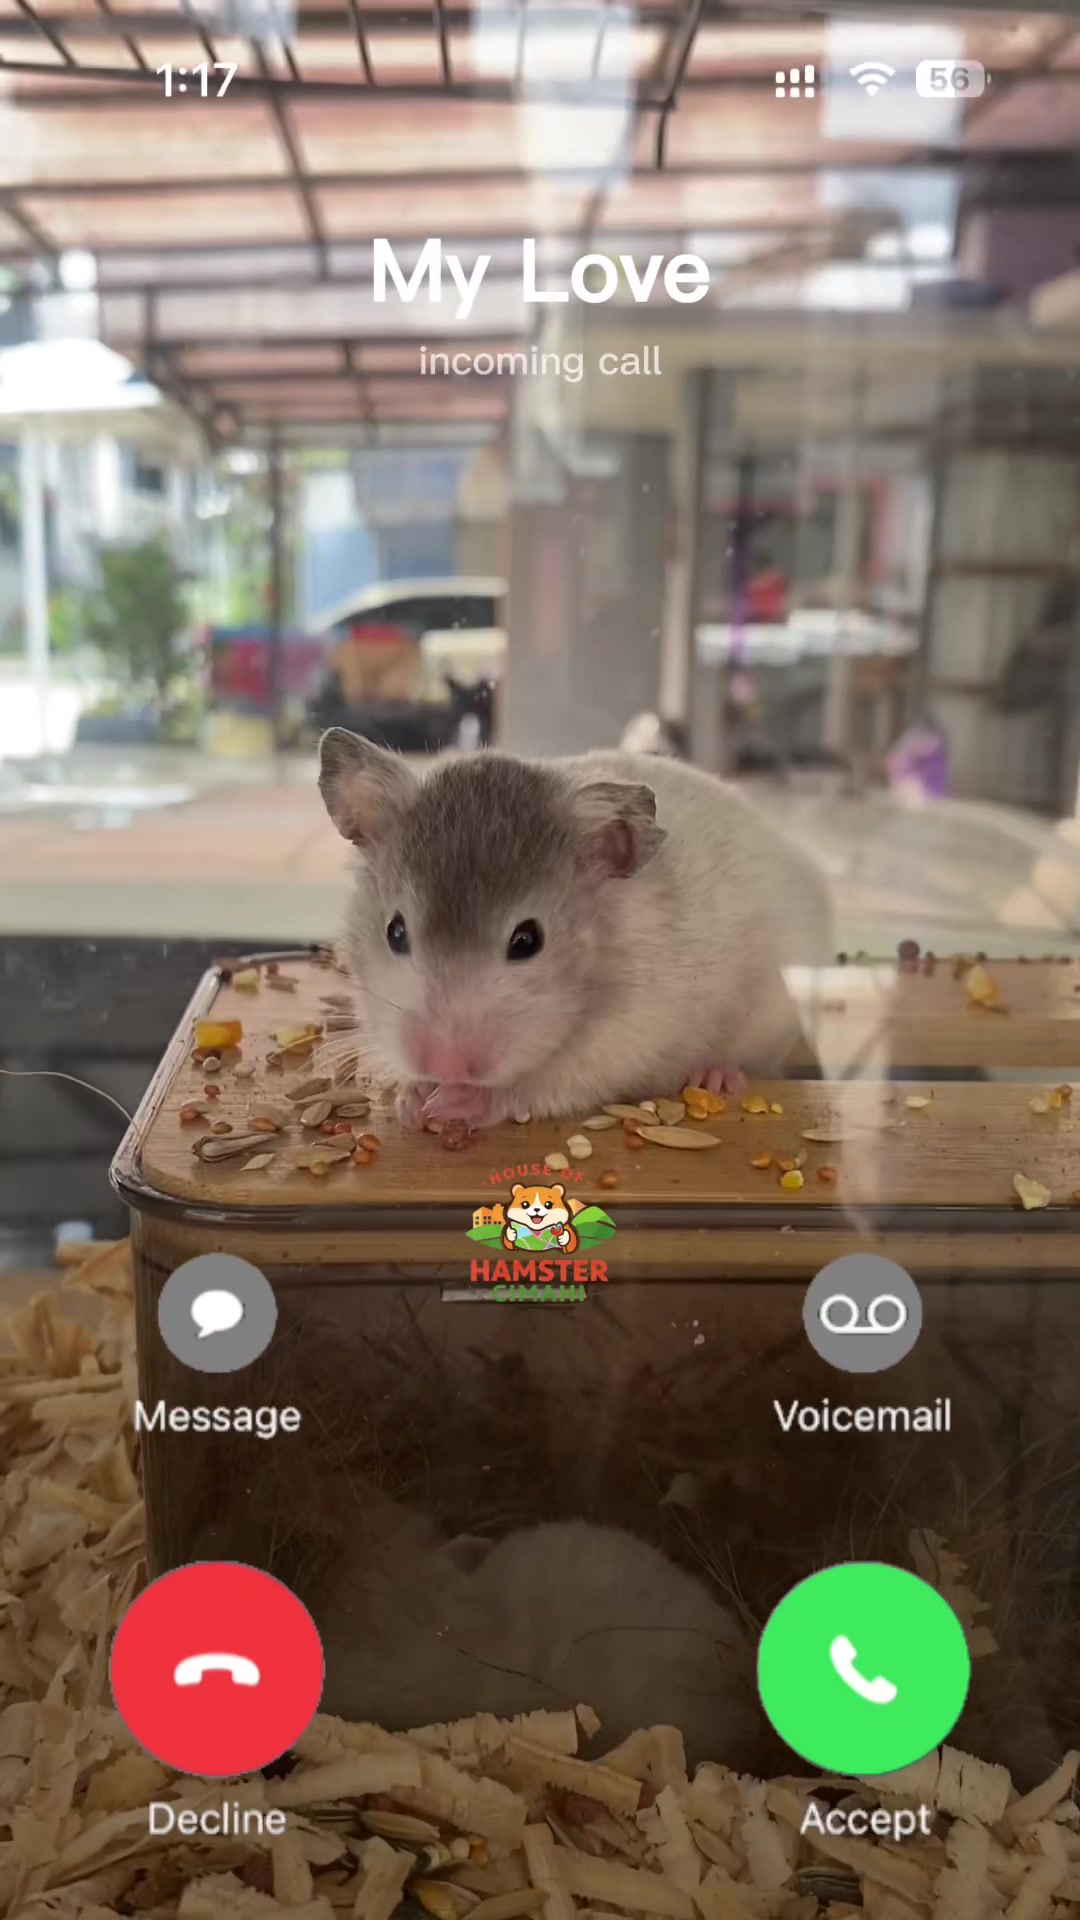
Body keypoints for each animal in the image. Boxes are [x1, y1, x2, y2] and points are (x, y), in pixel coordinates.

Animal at [318, 731, 831, 1130]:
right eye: (395, 932)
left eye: (528, 940)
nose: (446, 1065)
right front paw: (413, 1100)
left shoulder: (622, 1042)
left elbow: (538, 1083)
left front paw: (455, 1102)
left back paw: (716, 1077)